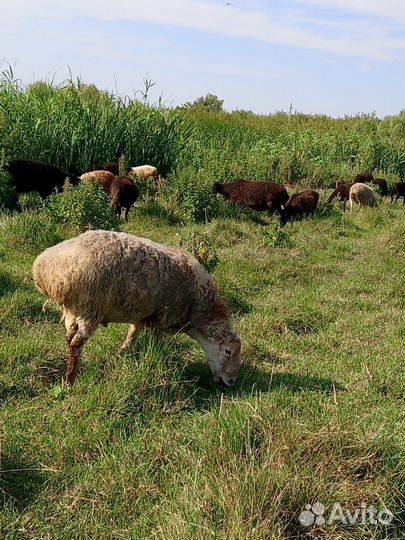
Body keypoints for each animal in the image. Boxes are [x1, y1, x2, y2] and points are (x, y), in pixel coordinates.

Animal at [33, 230, 241, 386]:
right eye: (228, 351)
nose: (231, 382)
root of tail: (44, 268)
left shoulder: (142, 315)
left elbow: (131, 337)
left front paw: (120, 356)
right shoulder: (163, 317)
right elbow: (157, 341)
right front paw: (158, 356)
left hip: (72, 310)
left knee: (69, 339)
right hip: (90, 310)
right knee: (76, 344)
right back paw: (70, 381)